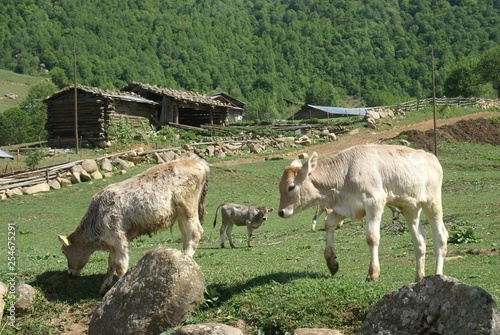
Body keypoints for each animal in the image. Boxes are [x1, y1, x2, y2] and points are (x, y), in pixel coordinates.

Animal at [57, 158, 209, 294]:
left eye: (63, 251)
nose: (69, 273)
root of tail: (196, 160)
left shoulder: (119, 239)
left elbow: (120, 266)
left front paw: (119, 287)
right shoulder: (112, 244)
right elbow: (110, 264)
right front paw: (104, 288)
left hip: (188, 208)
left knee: (195, 232)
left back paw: (187, 258)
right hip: (181, 215)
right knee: (187, 235)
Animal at [278, 145, 450, 284]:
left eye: (291, 187)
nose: (281, 212)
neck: (345, 174)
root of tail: (431, 157)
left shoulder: (375, 202)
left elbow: (372, 237)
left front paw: (373, 274)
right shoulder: (347, 207)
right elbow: (328, 223)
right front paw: (332, 263)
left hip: (432, 202)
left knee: (441, 236)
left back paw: (438, 276)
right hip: (410, 207)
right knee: (419, 241)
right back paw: (419, 278)